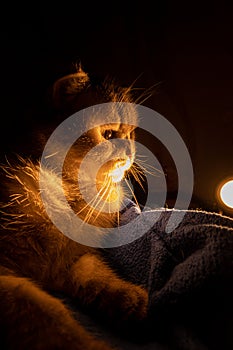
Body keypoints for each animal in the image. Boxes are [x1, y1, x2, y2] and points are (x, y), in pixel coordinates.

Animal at [0, 66, 148, 350]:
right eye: (109, 135)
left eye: (131, 135)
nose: (131, 151)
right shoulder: (10, 280)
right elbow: (47, 316)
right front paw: (89, 344)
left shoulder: (69, 258)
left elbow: (95, 273)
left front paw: (128, 300)